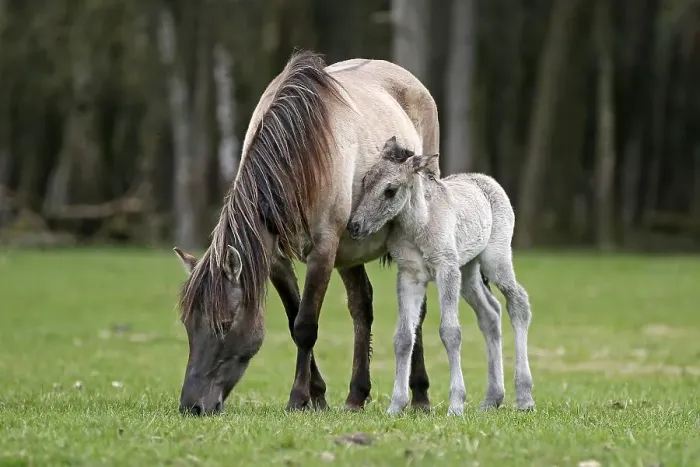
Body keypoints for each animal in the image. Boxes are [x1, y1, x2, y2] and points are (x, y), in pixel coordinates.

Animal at [171, 50, 441, 415]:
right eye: (188, 325)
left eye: (225, 323)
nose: (192, 406)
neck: (302, 152)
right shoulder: (275, 260)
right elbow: (293, 319)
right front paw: (319, 395)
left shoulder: (323, 251)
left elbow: (305, 326)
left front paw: (299, 397)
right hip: (349, 253)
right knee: (361, 307)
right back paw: (356, 395)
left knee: (417, 310)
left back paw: (421, 395)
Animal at [347, 137, 535, 415]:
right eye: (365, 181)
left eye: (390, 190)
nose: (354, 227)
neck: (419, 225)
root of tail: (488, 180)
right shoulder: (410, 276)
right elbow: (403, 337)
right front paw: (395, 406)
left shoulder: (446, 268)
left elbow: (450, 332)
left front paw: (456, 405)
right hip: (467, 271)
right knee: (490, 312)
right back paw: (492, 398)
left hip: (495, 260)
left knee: (518, 302)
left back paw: (524, 397)